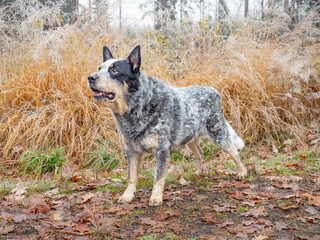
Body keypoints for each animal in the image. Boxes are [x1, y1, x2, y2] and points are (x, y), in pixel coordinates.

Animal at [88, 45, 248, 206]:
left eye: (114, 70)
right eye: (100, 68)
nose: (90, 77)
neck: (138, 106)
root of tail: (214, 90)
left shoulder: (162, 149)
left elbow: (158, 177)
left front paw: (156, 197)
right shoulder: (132, 149)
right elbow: (131, 176)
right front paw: (128, 195)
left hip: (218, 133)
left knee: (234, 151)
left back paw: (242, 172)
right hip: (189, 137)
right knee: (200, 153)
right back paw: (198, 172)